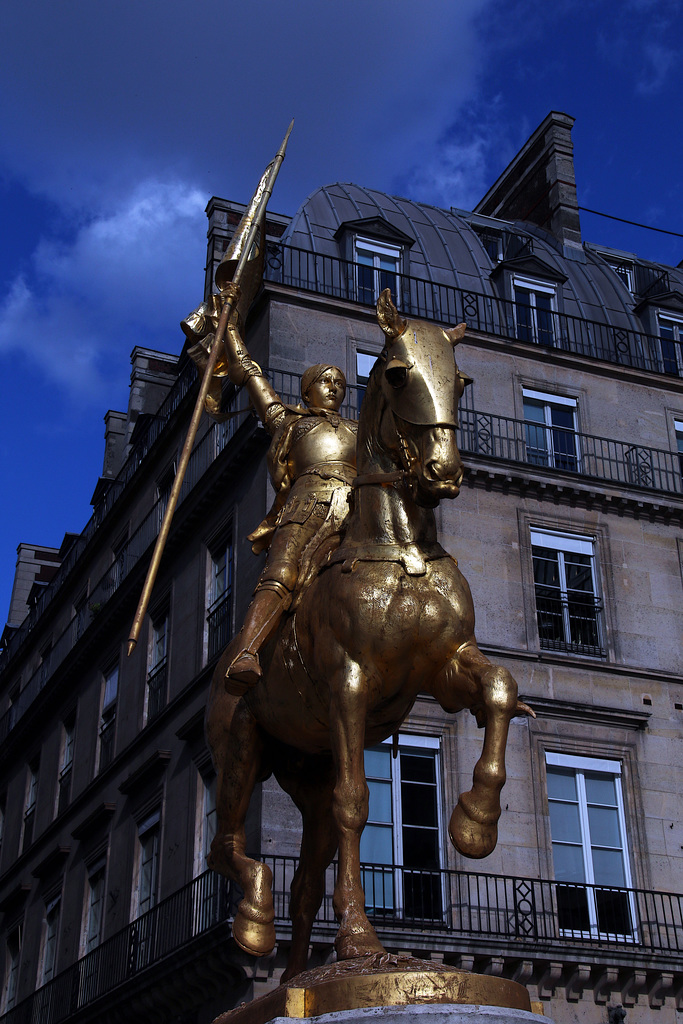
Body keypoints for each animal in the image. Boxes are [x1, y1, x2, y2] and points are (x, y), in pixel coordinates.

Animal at [204, 292, 532, 978]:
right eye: (399, 374)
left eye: (462, 380)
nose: (442, 473)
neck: (398, 551)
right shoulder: (348, 683)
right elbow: (357, 800)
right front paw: (359, 938)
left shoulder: (446, 665)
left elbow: (499, 687)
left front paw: (476, 822)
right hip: (242, 746)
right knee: (227, 844)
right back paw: (254, 920)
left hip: (307, 773)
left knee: (304, 881)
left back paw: (299, 975)